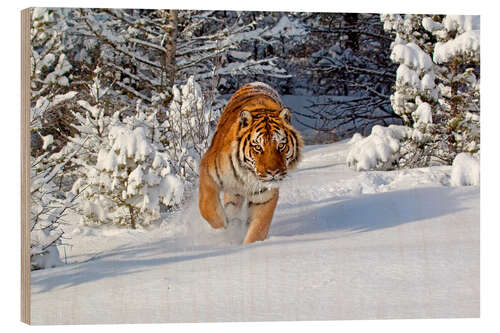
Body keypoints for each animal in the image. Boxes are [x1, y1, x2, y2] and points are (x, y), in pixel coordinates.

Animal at [198, 81, 300, 243]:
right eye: (258, 147)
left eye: (281, 146)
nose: (273, 172)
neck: (247, 174)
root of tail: (257, 82)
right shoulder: (208, 173)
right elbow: (206, 205)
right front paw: (224, 224)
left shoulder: (265, 197)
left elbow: (258, 228)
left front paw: (250, 246)